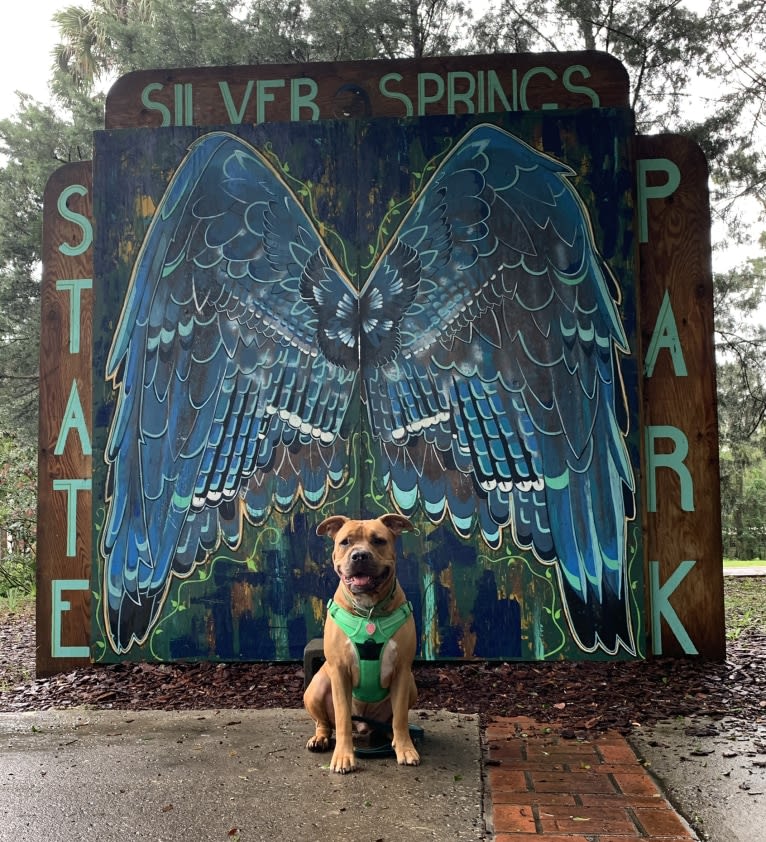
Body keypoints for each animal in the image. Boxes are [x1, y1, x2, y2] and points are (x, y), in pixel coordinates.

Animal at [306, 508, 424, 772]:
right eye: (345, 542)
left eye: (378, 540)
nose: (359, 555)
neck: (369, 609)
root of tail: (363, 724)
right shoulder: (339, 671)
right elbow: (341, 720)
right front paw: (343, 756)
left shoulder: (402, 671)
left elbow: (401, 718)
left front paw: (405, 748)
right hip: (317, 687)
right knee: (325, 722)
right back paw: (320, 738)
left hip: (411, 685)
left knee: (391, 720)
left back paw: (391, 738)